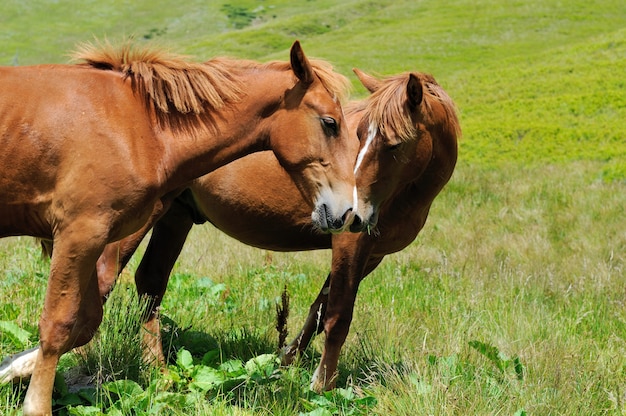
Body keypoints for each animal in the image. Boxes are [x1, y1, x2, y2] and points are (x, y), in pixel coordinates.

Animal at [0, 39, 366, 416]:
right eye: (330, 123)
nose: (349, 213)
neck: (137, 126)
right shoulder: (79, 234)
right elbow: (58, 325)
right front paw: (35, 404)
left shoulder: (92, 239)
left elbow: (85, 321)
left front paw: (10, 369)